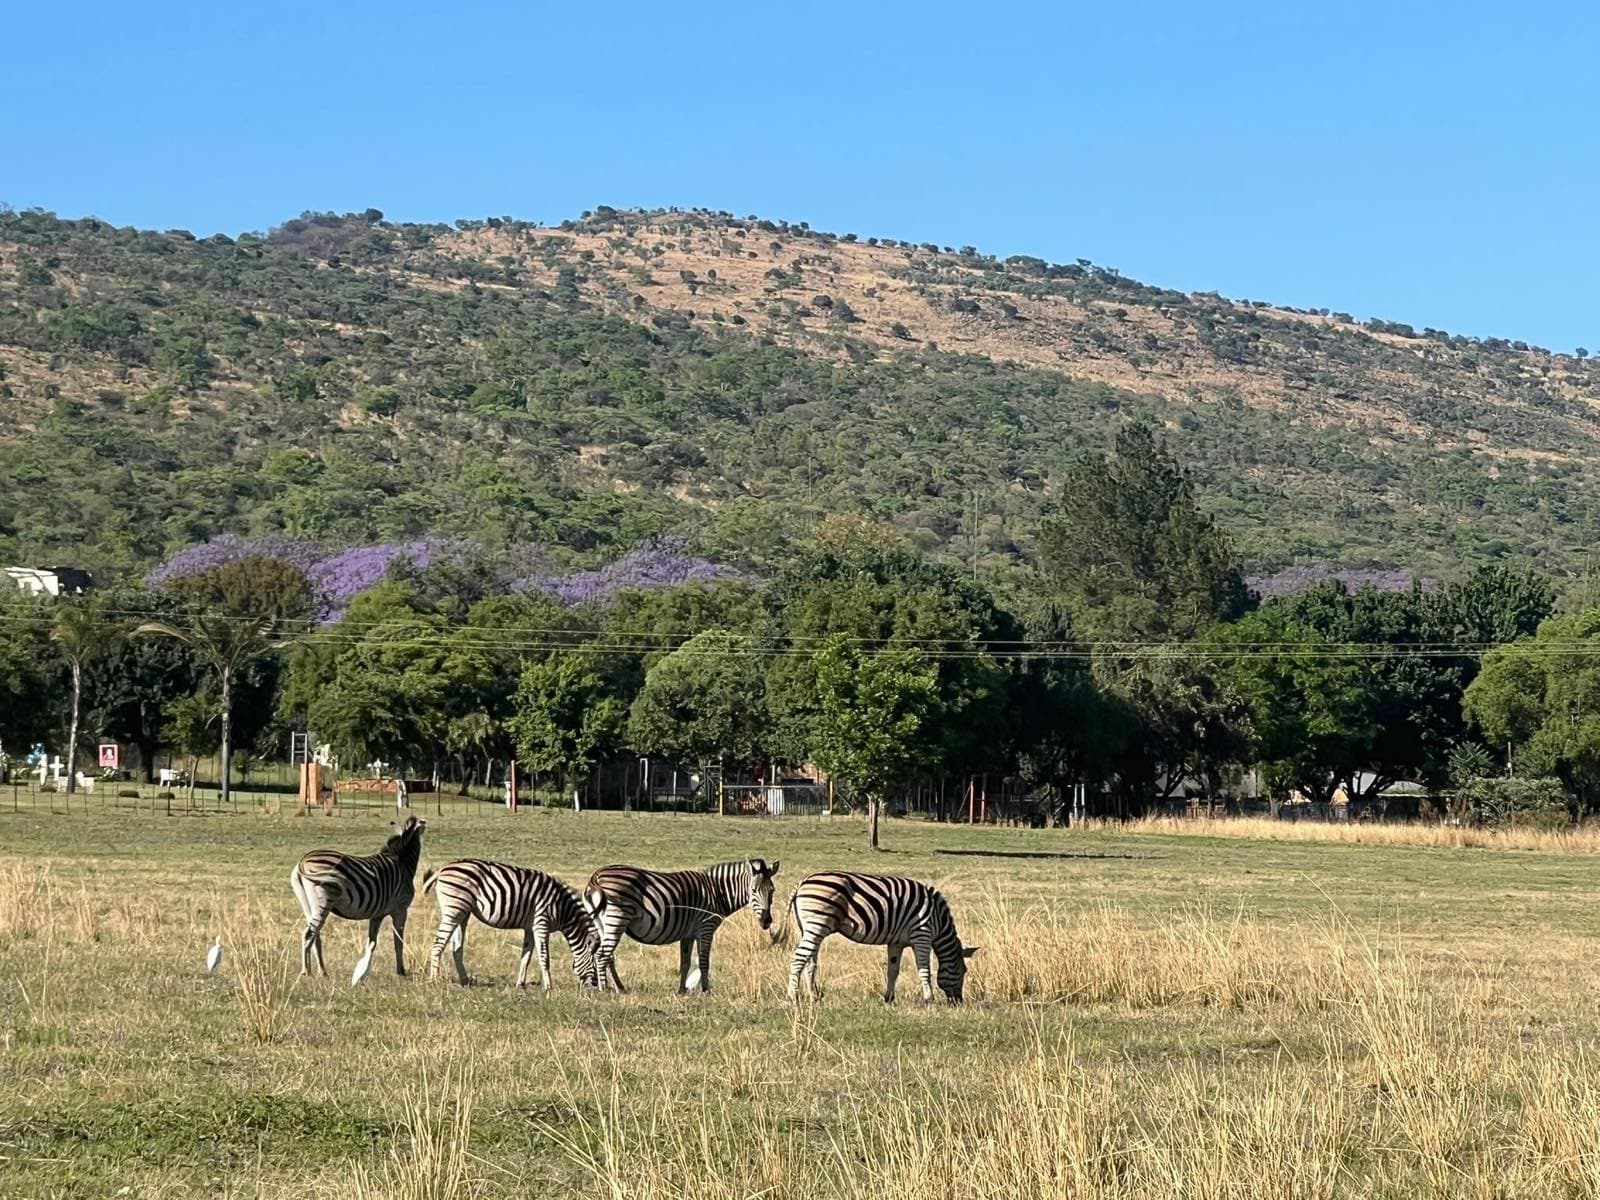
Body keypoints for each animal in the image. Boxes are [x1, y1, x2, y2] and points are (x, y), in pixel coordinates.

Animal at [289, 815, 426, 980]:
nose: (425, 822)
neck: (403, 863)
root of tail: (303, 860)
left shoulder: (377, 914)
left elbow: (371, 942)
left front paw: (363, 970)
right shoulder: (400, 909)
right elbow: (398, 941)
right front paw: (401, 971)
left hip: (307, 904)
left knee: (315, 935)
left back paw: (322, 971)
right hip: (323, 901)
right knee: (308, 934)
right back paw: (306, 972)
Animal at [422, 858, 601, 990]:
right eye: (595, 963)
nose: (595, 988)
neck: (562, 909)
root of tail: (442, 869)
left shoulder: (530, 928)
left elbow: (526, 956)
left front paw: (520, 983)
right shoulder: (541, 923)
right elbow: (544, 956)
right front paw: (548, 986)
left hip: (463, 913)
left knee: (456, 948)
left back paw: (465, 981)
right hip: (454, 909)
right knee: (438, 944)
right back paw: (434, 980)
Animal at [585, 858, 779, 994]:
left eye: (772, 891)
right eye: (753, 891)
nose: (766, 921)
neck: (717, 893)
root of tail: (596, 877)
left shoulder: (688, 934)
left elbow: (685, 962)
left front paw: (682, 990)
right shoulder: (706, 928)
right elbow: (704, 961)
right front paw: (705, 991)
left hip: (603, 924)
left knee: (608, 956)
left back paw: (619, 987)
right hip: (617, 919)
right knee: (602, 955)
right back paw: (604, 990)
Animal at [783, 871, 979, 1004]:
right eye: (963, 971)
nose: (958, 1002)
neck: (938, 920)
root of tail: (802, 882)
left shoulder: (896, 942)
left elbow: (893, 970)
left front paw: (889, 998)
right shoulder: (922, 934)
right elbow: (924, 969)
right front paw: (929, 998)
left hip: (810, 928)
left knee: (810, 962)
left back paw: (812, 996)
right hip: (817, 924)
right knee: (797, 958)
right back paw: (793, 996)